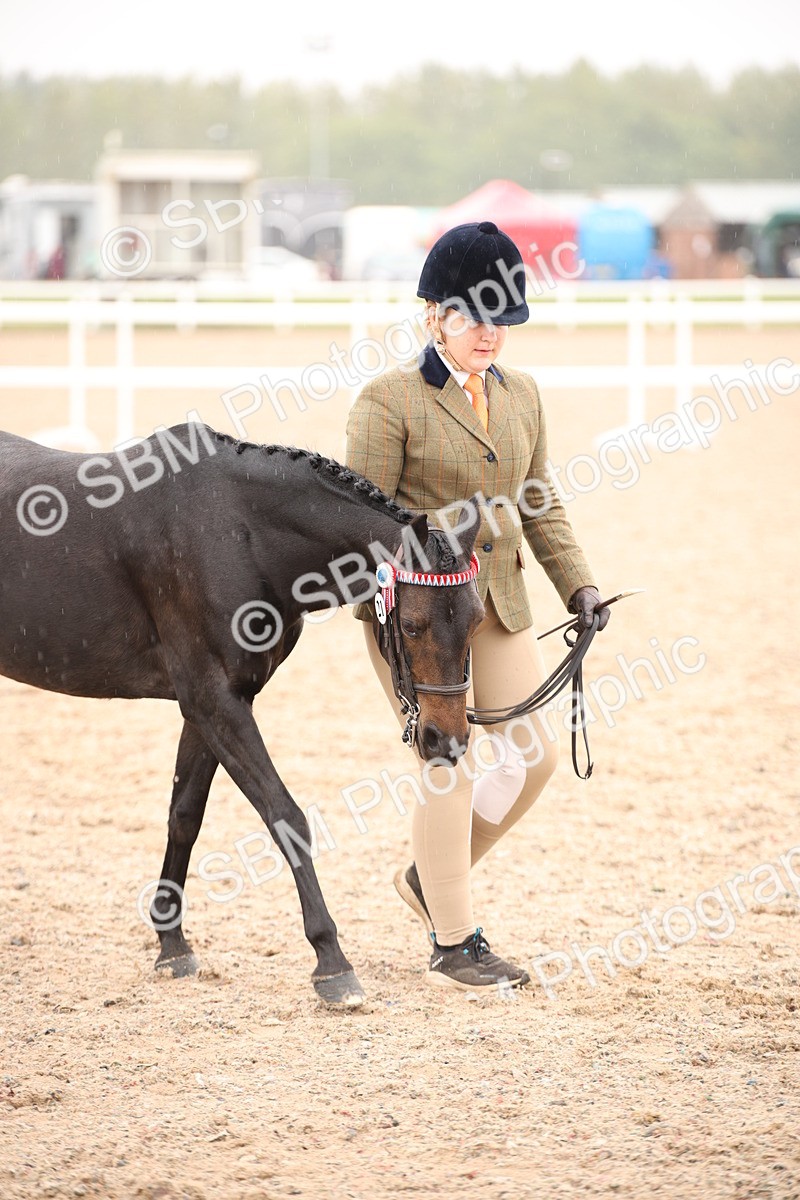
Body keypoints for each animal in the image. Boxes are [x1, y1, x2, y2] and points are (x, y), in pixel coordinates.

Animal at [0, 422, 483, 1008]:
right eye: (411, 625)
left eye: (477, 620)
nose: (445, 739)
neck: (238, 531)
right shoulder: (214, 701)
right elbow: (285, 816)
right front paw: (331, 962)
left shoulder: (214, 705)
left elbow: (185, 815)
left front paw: (172, 946)